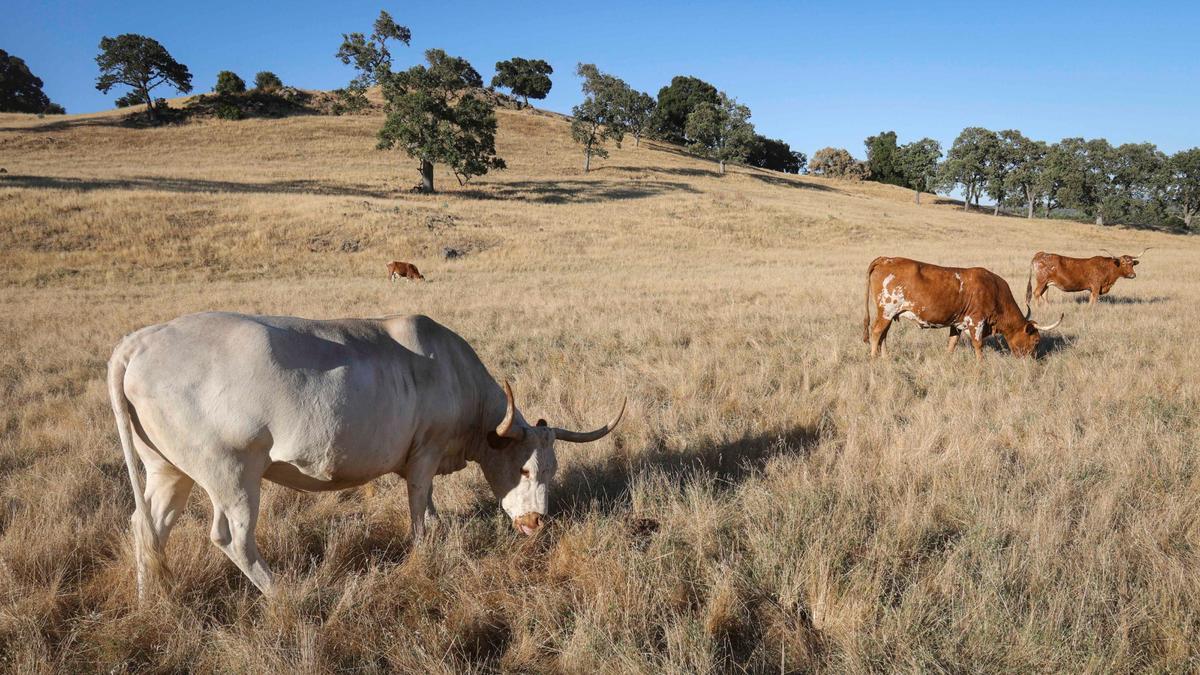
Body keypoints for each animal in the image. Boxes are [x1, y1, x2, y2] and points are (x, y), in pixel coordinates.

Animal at [108, 312, 624, 598]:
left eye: (553, 471)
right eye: (524, 468)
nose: (537, 524)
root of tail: (141, 341)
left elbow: (429, 507)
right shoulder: (424, 455)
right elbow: (421, 511)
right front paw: (424, 554)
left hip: (168, 469)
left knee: (148, 527)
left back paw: (153, 598)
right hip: (232, 472)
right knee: (232, 538)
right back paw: (284, 595)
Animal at [863, 257, 1062, 360]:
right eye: (1036, 340)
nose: (1032, 360)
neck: (994, 290)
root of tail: (886, 260)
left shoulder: (957, 323)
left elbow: (952, 343)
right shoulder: (976, 320)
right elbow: (978, 345)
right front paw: (980, 364)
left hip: (889, 314)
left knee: (883, 334)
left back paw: (886, 357)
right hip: (886, 311)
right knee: (876, 332)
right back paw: (873, 358)